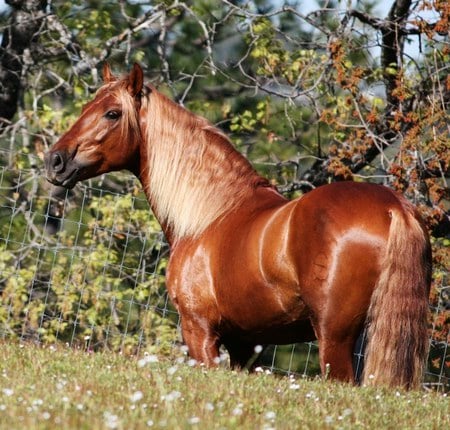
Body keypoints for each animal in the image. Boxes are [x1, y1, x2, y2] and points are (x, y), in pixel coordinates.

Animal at [44, 63, 432, 390]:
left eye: (112, 113)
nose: (54, 161)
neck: (209, 215)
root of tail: (394, 208)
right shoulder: (246, 344)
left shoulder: (200, 332)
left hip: (334, 338)